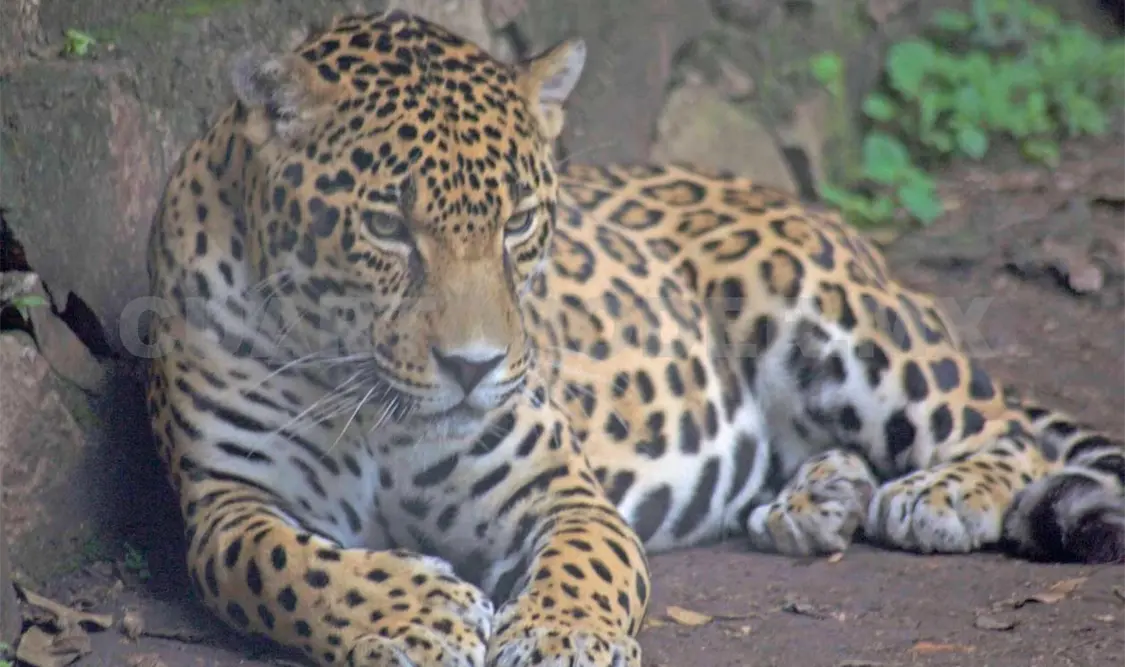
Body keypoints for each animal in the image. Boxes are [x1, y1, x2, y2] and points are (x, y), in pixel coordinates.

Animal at [143, 9, 1125, 667]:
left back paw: (936, 492)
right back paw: (819, 496)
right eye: (386, 227)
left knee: (999, 425)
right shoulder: (227, 503)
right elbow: (286, 566)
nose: (473, 368)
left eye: (518, 223)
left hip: (822, 313)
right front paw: (415, 615)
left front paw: (561, 635)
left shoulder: (557, 491)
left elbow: (586, 562)